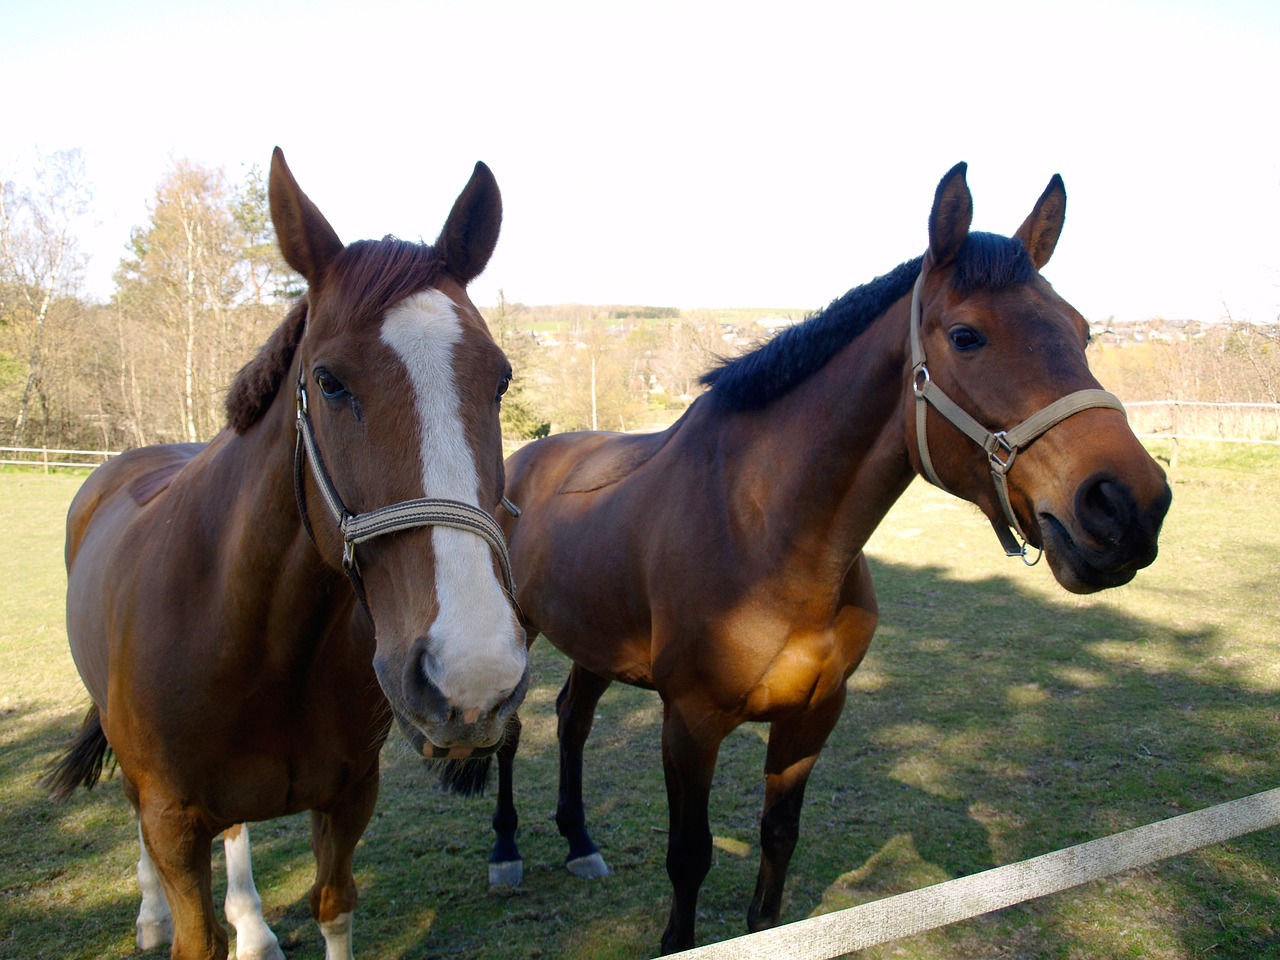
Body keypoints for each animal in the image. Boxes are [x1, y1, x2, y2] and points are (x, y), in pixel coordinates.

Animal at [45, 148, 524, 960]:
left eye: (500, 380)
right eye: (328, 382)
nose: (472, 678)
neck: (258, 638)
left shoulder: (349, 796)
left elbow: (333, 905)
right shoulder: (173, 822)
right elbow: (193, 932)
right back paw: (155, 914)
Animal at [478, 163, 1172, 957]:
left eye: (1081, 331)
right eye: (966, 336)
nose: (1128, 505)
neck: (766, 538)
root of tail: (526, 459)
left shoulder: (813, 717)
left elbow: (779, 838)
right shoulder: (688, 723)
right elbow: (689, 855)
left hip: (592, 641)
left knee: (571, 721)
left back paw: (580, 841)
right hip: (519, 635)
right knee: (511, 734)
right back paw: (506, 852)